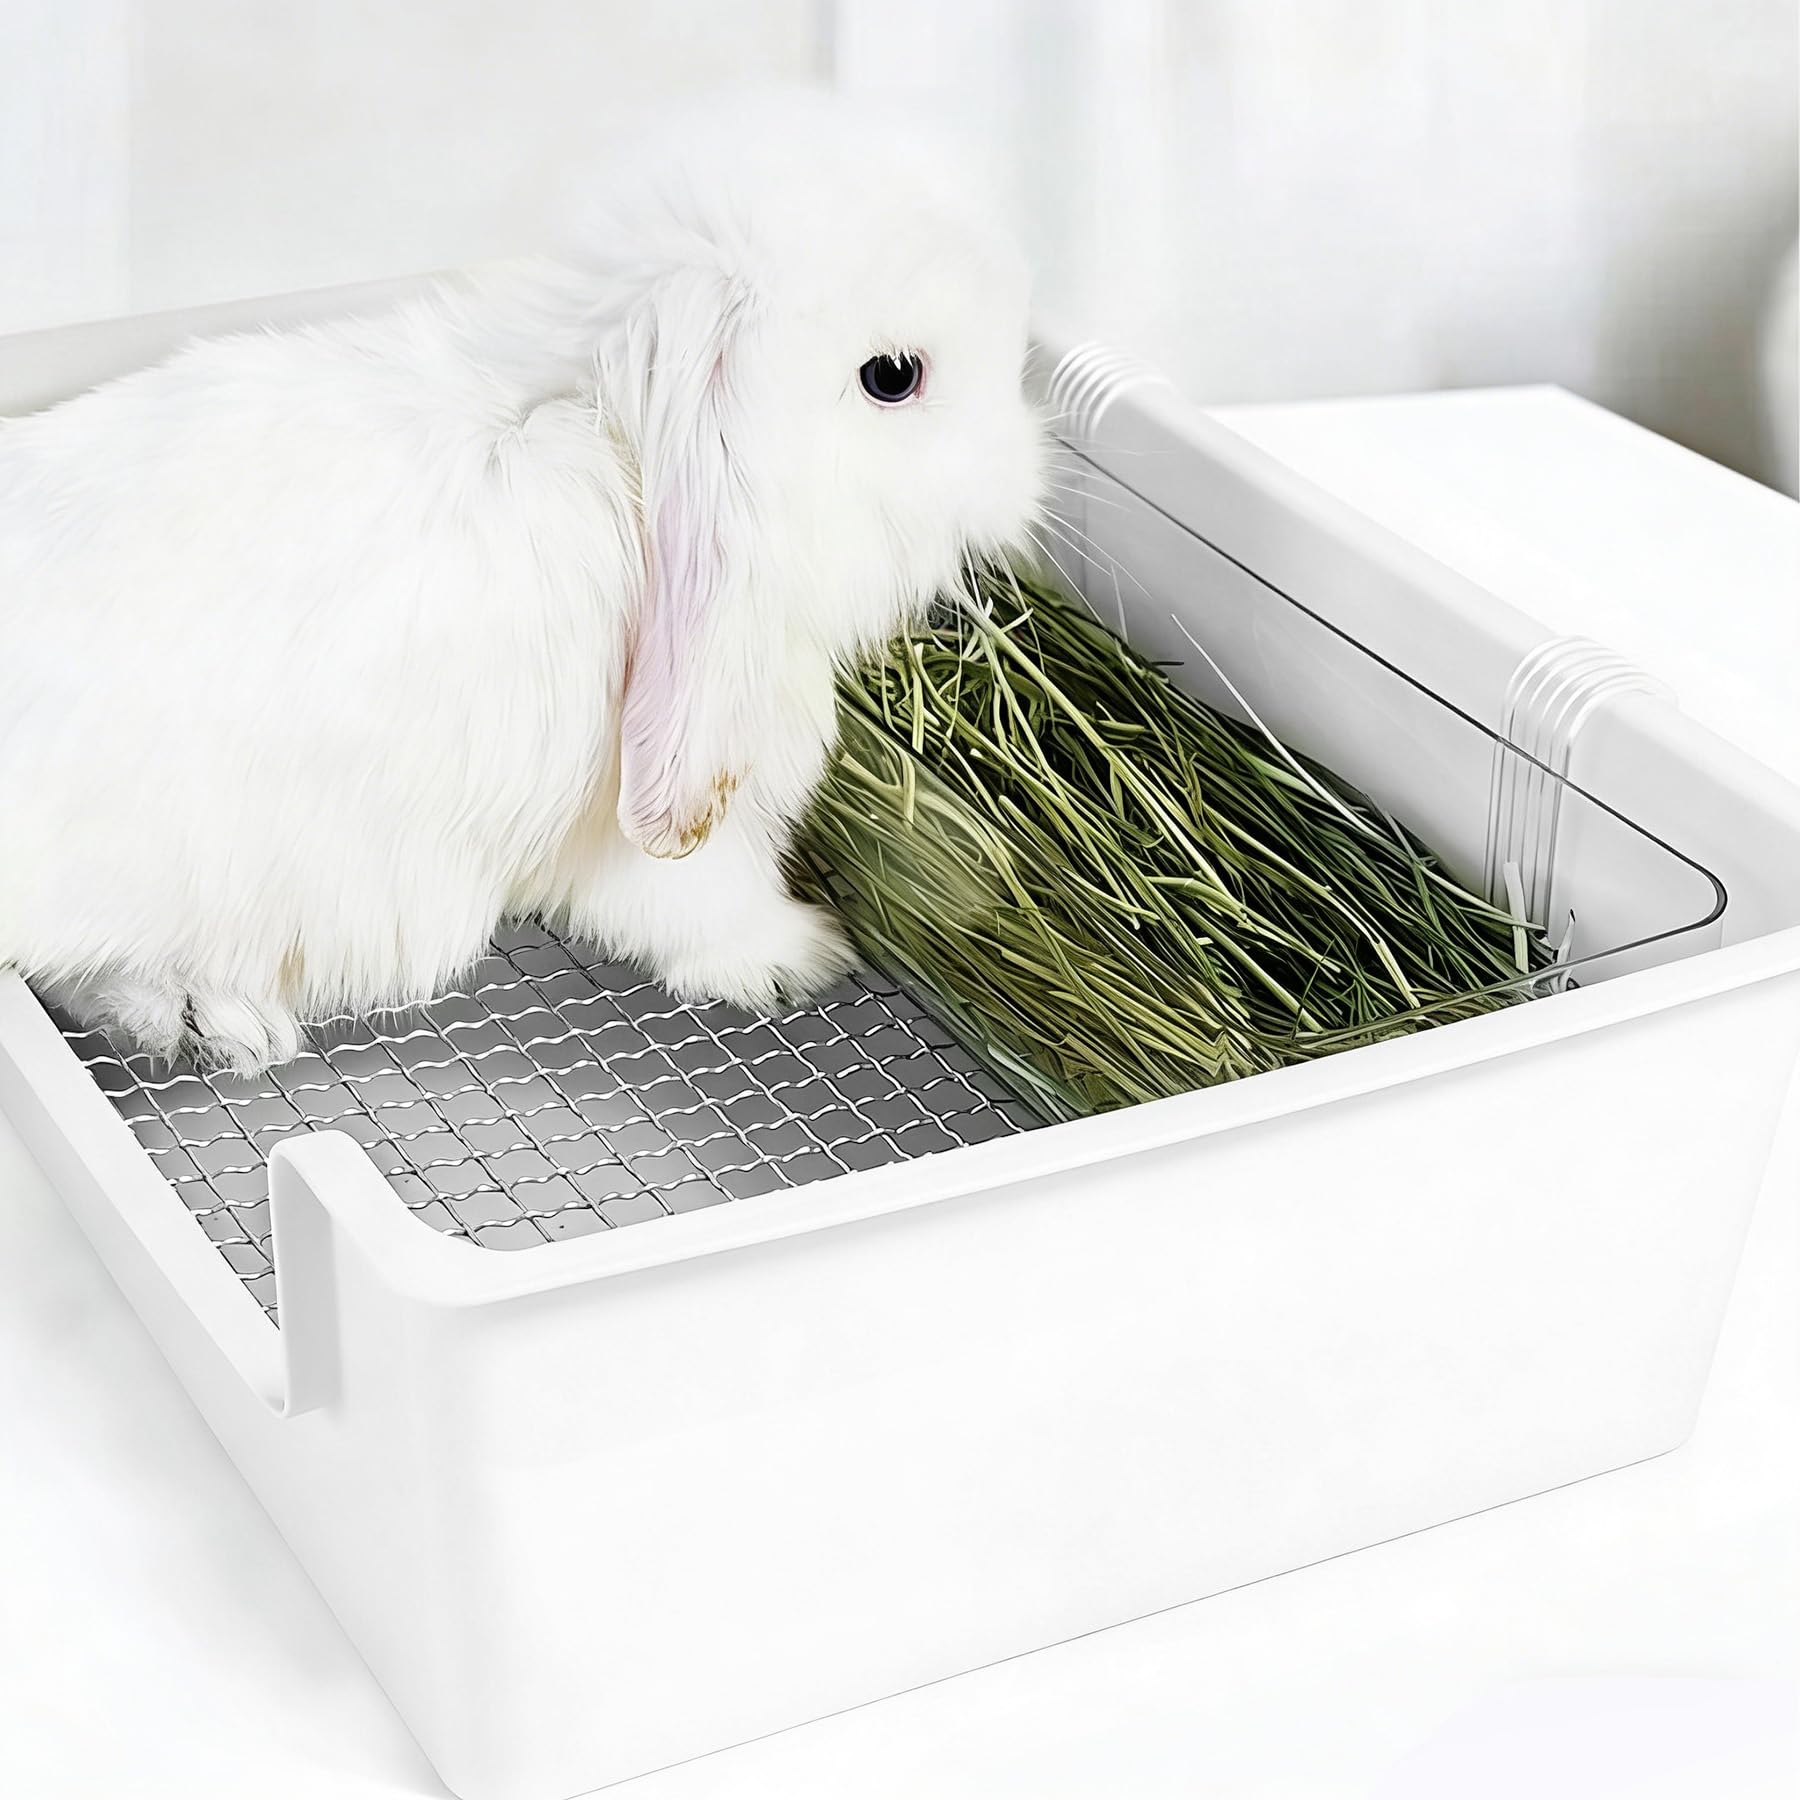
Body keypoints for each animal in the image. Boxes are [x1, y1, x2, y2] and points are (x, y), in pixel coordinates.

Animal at [0, 97, 1045, 1072]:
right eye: (892, 376)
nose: (1029, 478)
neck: (603, 422)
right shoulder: (650, 830)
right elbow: (701, 902)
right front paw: (799, 957)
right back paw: (214, 1018)